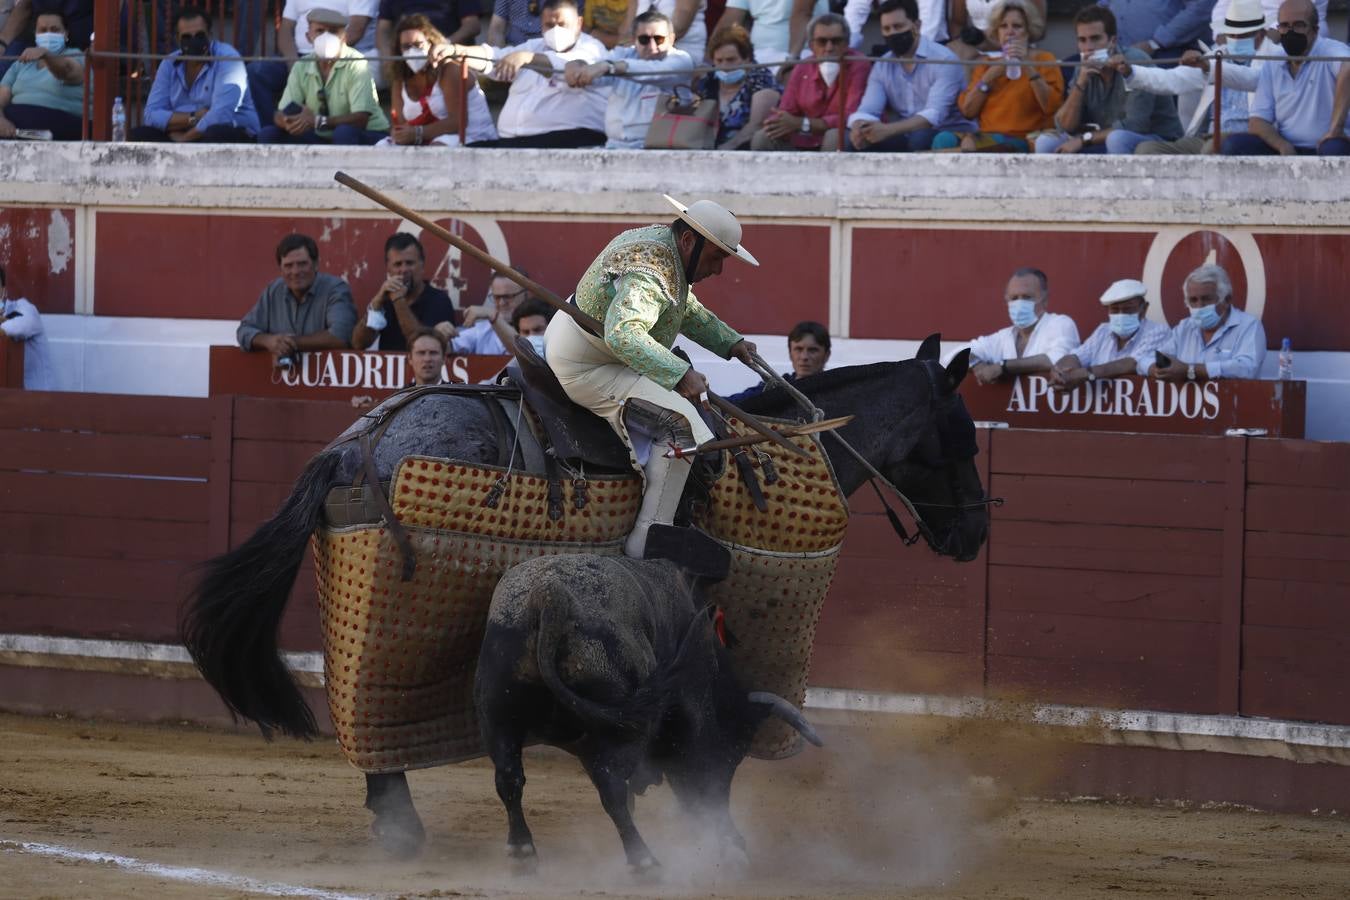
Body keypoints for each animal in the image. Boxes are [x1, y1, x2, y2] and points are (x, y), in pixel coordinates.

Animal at [182, 333, 993, 858]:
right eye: (964, 434)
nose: (975, 533)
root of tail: (357, 440)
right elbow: (700, 734)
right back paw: (404, 829)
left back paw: (397, 823)